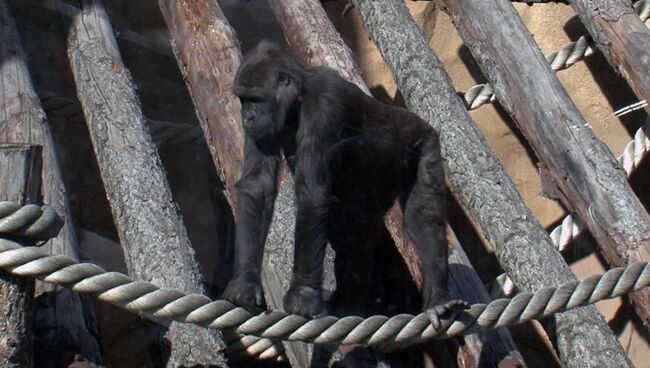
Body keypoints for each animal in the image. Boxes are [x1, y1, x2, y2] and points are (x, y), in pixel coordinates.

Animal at [223, 41, 466, 330]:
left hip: (424, 144)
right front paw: (245, 283)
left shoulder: (326, 104)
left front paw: (303, 295)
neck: (298, 99)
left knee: (422, 218)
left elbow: (311, 195)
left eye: (256, 99)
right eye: (243, 99)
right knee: (352, 233)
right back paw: (350, 303)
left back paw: (437, 298)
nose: (247, 118)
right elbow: (257, 186)